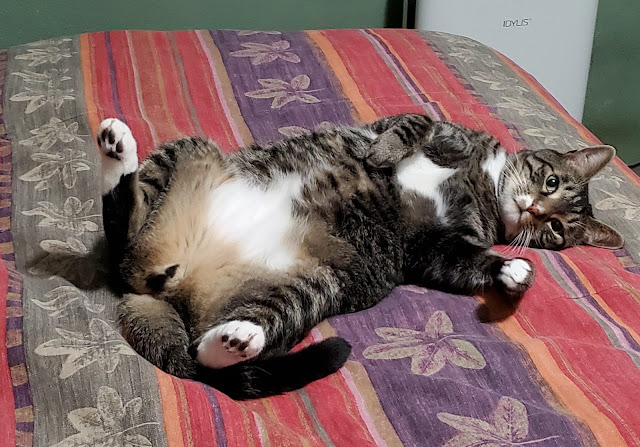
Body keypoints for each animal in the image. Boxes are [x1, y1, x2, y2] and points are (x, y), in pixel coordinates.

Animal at [98, 113, 622, 399]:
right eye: (550, 182)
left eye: (556, 228)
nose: (535, 210)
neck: (485, 186)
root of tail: (162, 289)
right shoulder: (434, 129)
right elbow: (414, 122)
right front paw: (385, 154)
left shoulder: (430, 246)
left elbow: (466, 259)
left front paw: (512, 270)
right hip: (192, 150)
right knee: (122, 233)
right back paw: (117, 152)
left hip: (314, 284)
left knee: (203, 350)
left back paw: (237, 338)